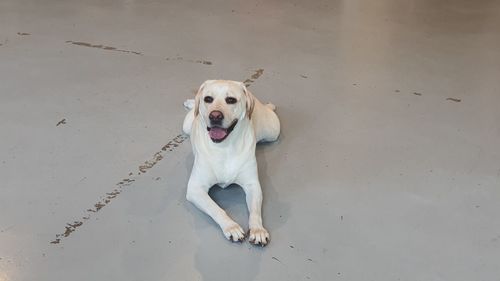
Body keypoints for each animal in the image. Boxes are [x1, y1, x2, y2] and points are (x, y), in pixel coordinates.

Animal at [183, 79, 282, 245]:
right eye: (208, 99)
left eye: (231, 100)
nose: (215, 116)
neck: (225, 147)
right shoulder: (195, 189)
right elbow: (216, 208)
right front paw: (231, 227)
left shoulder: (252, 185)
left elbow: (255, 212)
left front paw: (258, 230)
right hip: (186, 125)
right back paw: (191, 103)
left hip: (273, 131)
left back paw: (270, 106)